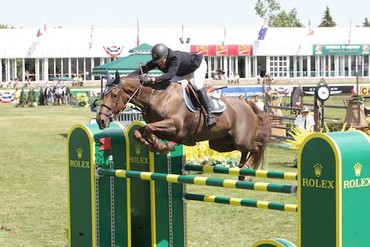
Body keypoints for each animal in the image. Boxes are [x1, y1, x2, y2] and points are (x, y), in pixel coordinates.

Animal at [97, 71, 272, 172]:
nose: (100, 120)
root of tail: (247, 104)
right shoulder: (167, 130)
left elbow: (147, 129)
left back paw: (247, 168)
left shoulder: (175, 126)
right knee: (244, 150)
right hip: (221, 143)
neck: (156, 96)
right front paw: (159, 146)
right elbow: (139, 132)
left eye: (114, 95)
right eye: (102, 94)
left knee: (257, 146)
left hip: (240, 139)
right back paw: (242, 169)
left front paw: (161, 146)